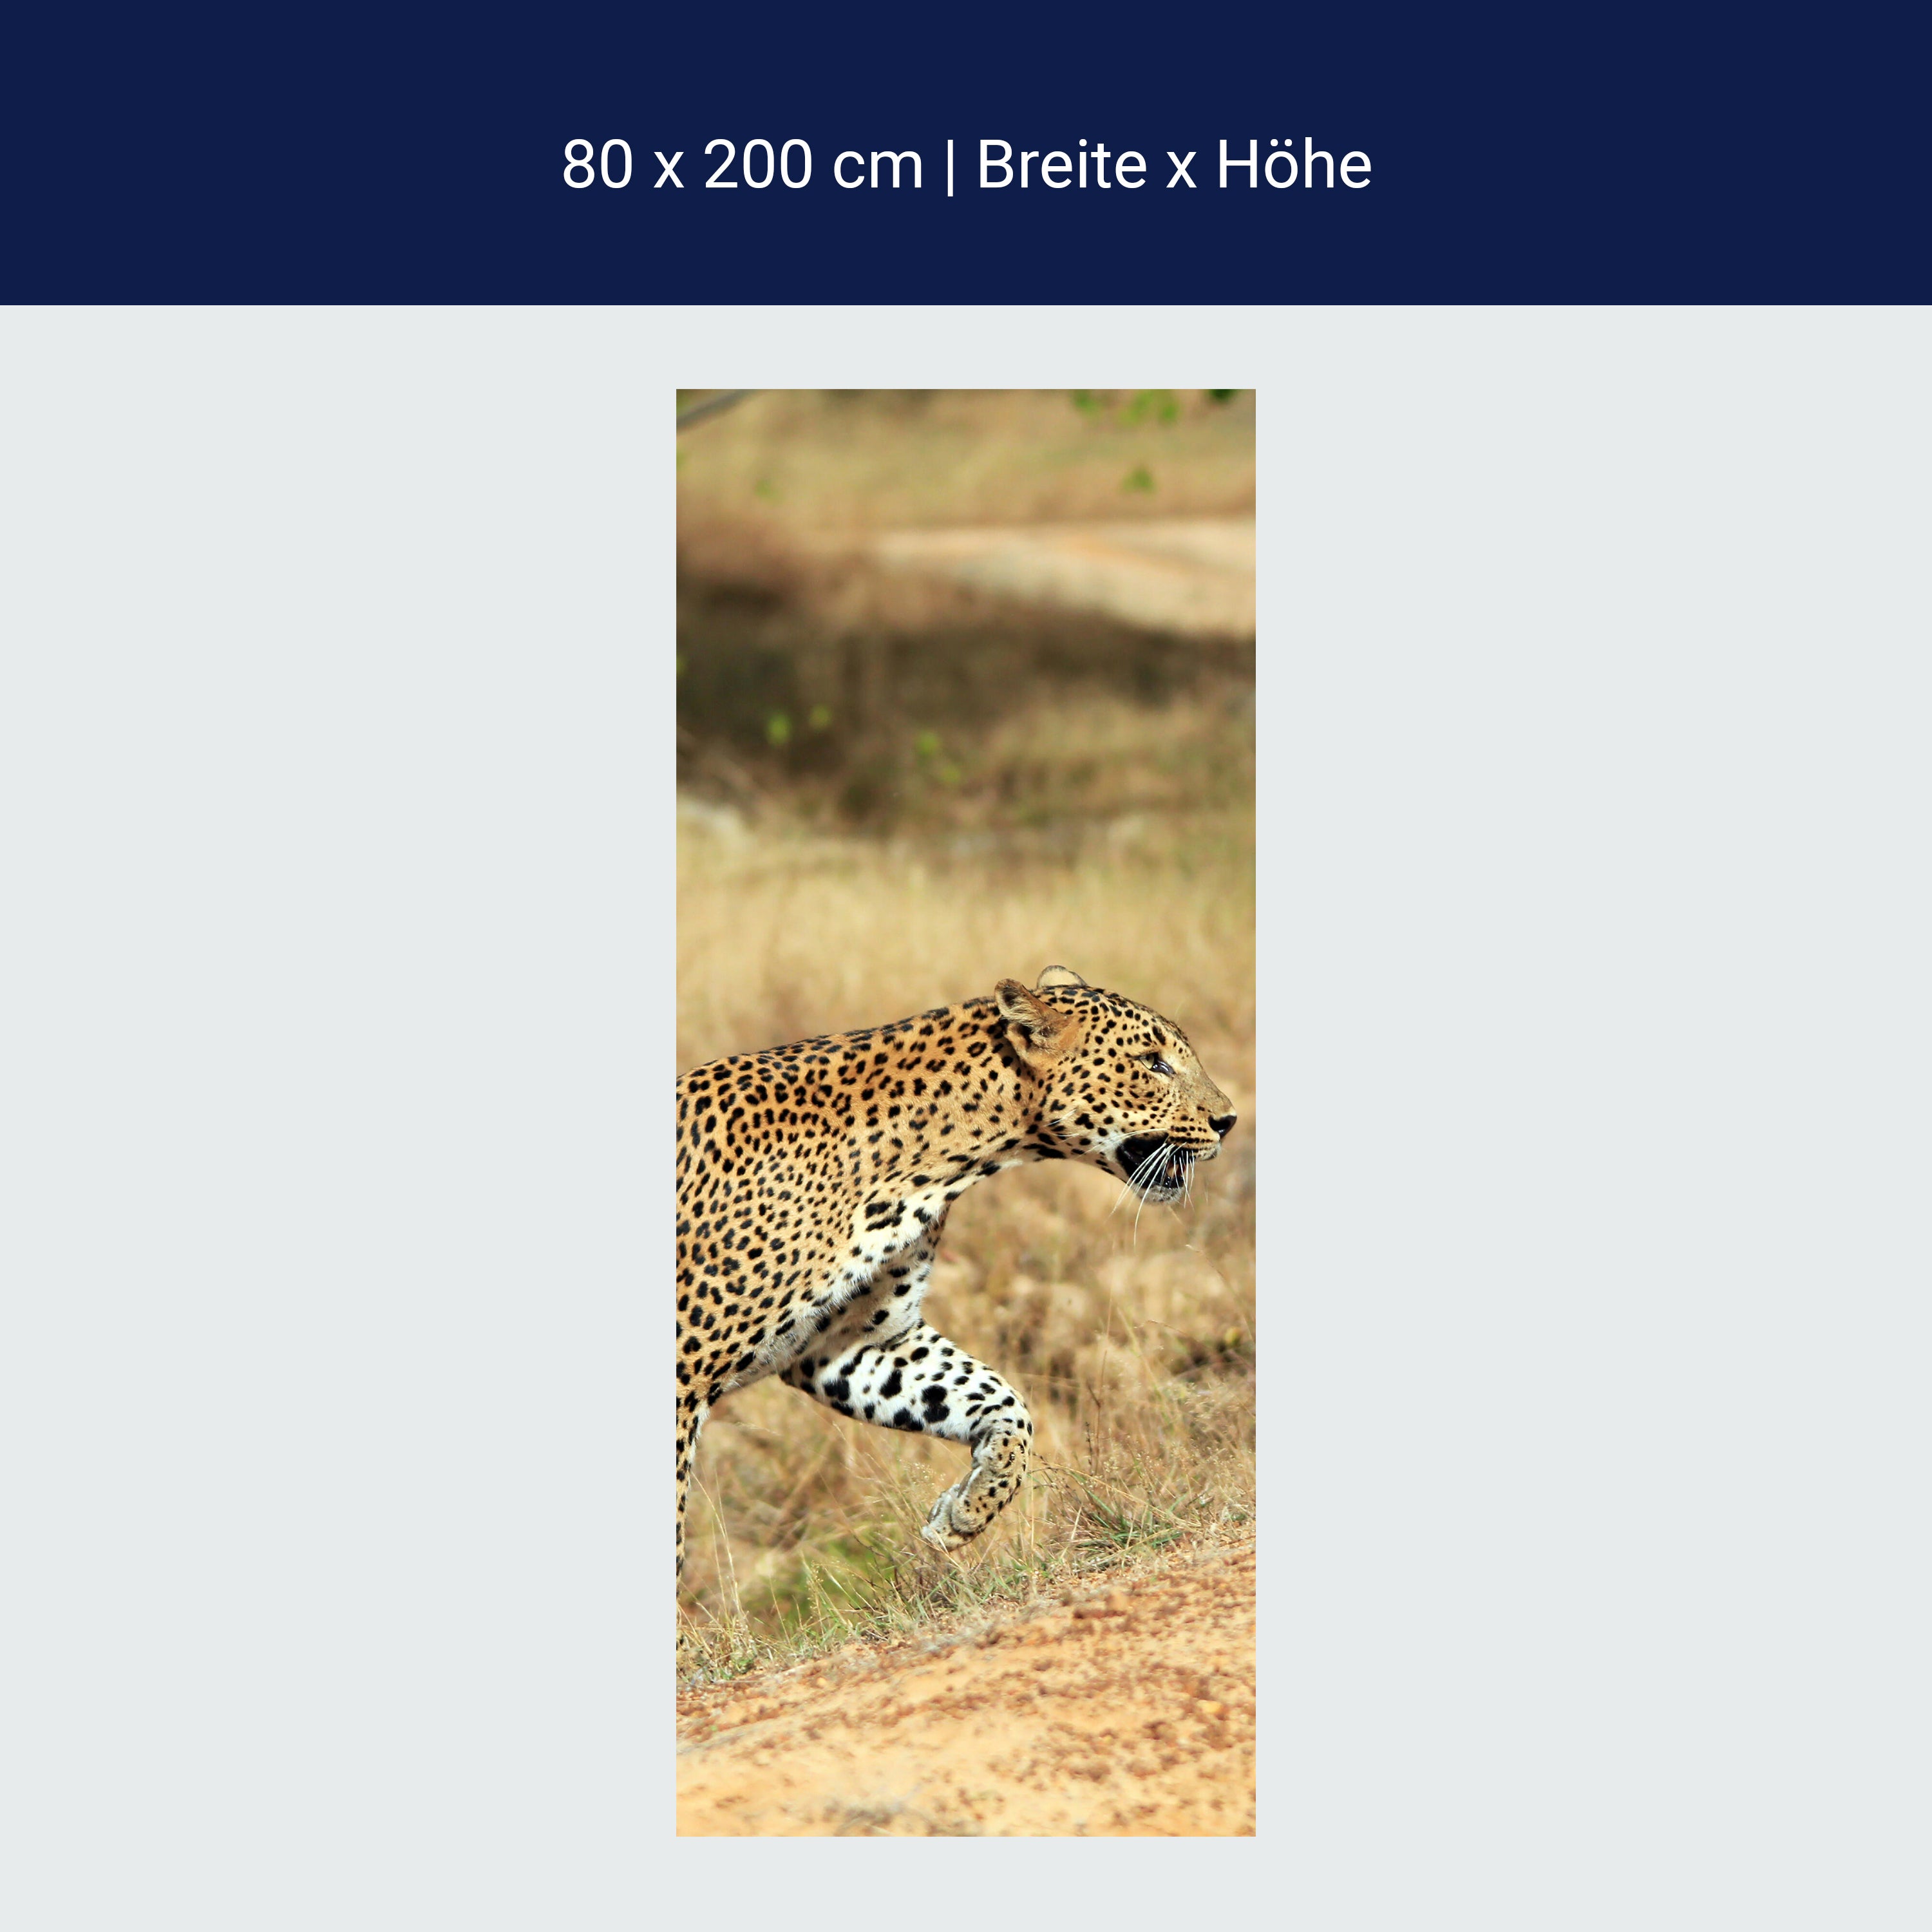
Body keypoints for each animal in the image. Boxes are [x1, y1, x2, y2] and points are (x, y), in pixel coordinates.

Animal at [675, 966, 1238, 1575]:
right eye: (1153, 1063)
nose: (1229, 1121)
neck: (934, 1167)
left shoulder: (854, 1343)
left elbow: (1002, 1400)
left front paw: (968, 1509)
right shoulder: (684, 1375)